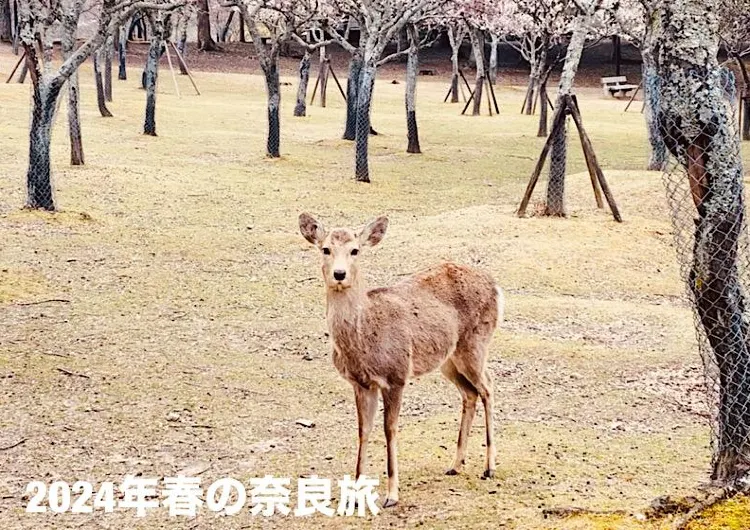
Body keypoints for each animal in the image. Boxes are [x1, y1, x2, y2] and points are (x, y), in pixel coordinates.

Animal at [300, 212, 506, 506]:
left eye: (355, 250)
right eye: (325, 249)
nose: (340, 274)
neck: (363, 341)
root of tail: (497, 287)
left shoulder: (396, 375)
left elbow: (390, 429)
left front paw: (392, 495)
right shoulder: (360, 383)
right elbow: (363, 431)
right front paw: (355, 494)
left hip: (476, 343)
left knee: (488, 386)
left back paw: (489, 468)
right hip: (449, 359)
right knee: (470, 393)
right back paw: (455, 464)